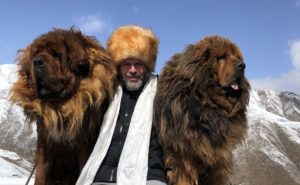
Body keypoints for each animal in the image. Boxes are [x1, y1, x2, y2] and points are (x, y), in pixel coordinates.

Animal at [9, 27, 117, 185]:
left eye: (56, 55)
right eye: (36, 54)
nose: (37, 61)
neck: (62, 108)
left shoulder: (84, 146)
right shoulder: (44, 146)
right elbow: (40, 174)